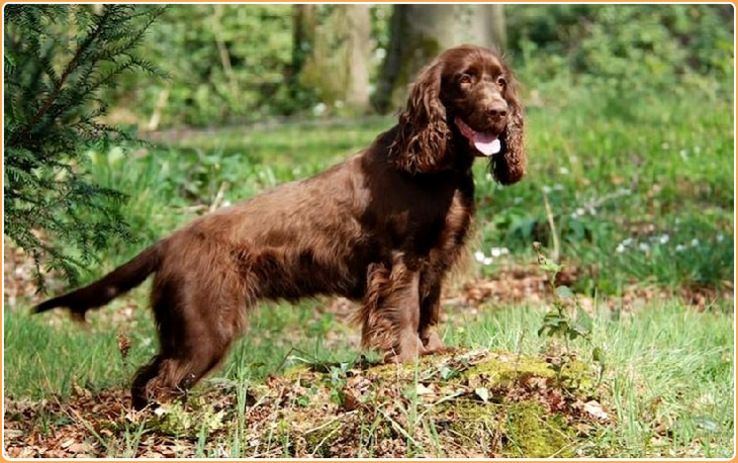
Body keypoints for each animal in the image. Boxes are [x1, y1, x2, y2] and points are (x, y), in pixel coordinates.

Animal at [36, 44, 524, 410]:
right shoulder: (400, 262)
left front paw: (436, 348)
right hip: (206, 328)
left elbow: (430, 310)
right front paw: (409, 360)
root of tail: (169, 241)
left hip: (185, 330)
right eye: (464, 80)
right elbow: (403, 313)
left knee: (147, 376)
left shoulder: (437, 261)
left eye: (500, 82)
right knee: (162, 381)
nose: (499, 113)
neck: (436, 169)